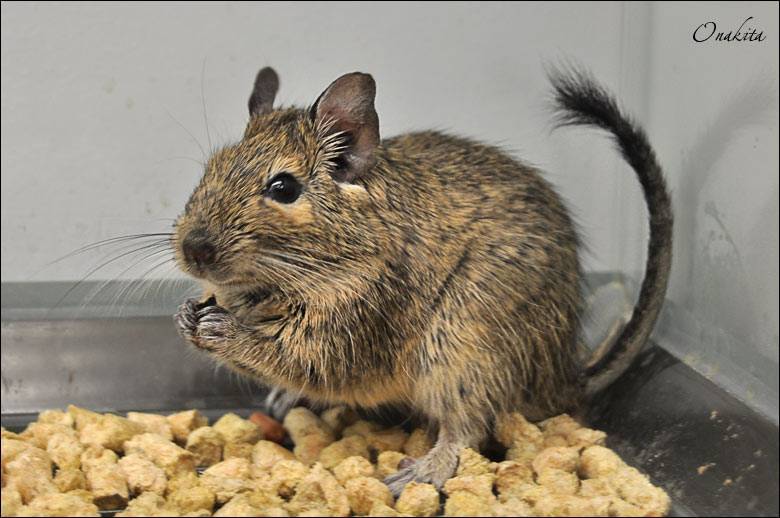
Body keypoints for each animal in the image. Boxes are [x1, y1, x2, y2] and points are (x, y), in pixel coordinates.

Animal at [173, 65, 672, 493]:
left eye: (283, 188)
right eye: (211, 167)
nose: (194, 251)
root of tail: (562, 379)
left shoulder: (350, 330)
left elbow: (287, 356)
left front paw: (221, 329)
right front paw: (186, 316)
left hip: (464, 354)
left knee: (468, 429)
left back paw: (418, 474)